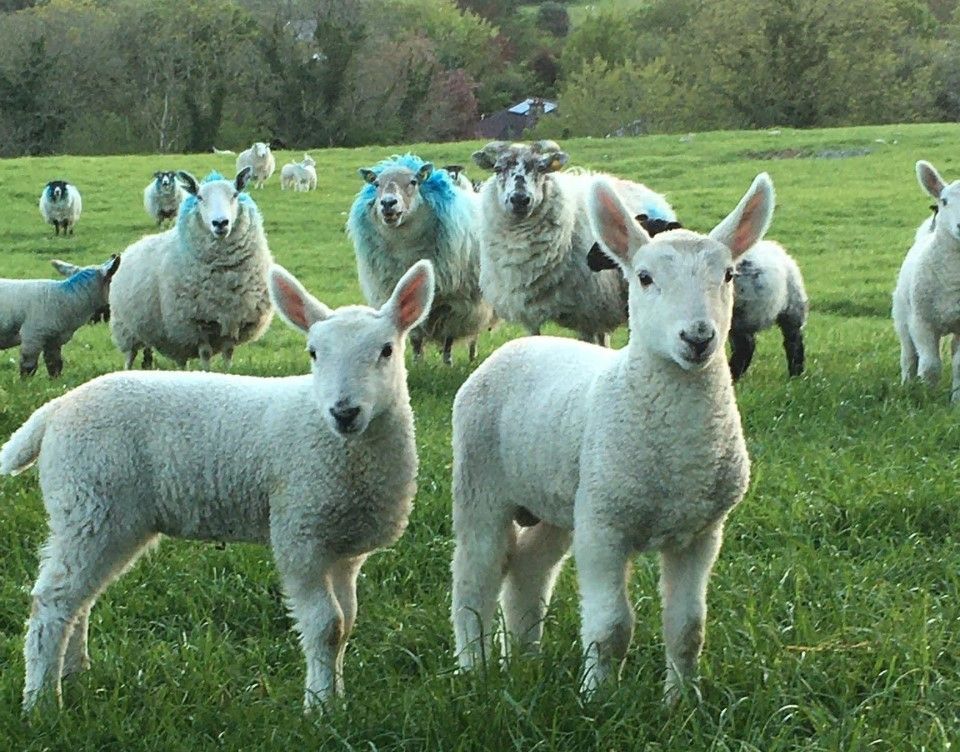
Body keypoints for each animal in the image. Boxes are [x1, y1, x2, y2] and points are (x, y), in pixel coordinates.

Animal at [1, 260, 435, 714]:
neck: (340, 444)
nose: (344, 412)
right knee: (53, 600)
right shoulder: (300, 532)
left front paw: (339, 699)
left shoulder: (345, 549)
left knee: (78, 598)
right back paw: (41, 701)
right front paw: (318, 706)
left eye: (386, 350)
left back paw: (74, 675)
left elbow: (347, 623)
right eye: (313, 353)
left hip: (103, 516)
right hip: (90, 504)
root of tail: (54, 410)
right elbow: (326, 625)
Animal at [109, 168, 274, 370]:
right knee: (130, 356)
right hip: (125, 328)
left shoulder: (233, 319)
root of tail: (132, 245)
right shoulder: (196, 324)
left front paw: (227, 373)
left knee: (179, 360)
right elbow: (205, 354)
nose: (220, 223)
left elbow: (228, 354)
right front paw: (207, 373)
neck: (225, 277)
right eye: (200, 197)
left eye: (235, 195)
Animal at [347, 153, 495, 364]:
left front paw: (447, 363)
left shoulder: (455, 302)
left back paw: (472, 356)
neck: (406, 249)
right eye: (376, 184)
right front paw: (418, 362)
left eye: (413, 182)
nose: (388, 203)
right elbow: (416, 336)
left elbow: (449, 335)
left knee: (473, 335)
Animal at [450, 173, 775, 703]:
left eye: (728, 275)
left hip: (560, 501)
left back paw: (526, 658)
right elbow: (611, 628)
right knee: (474, 578)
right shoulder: (604, 527)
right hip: (482, 484)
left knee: (529, 569)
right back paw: (473, 669)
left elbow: (687, 628)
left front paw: (680, 703)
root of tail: (516, 345)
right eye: (643, 278)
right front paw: (596, 699)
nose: (698, 338)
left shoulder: (700, 533)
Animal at [893, 160, 960, 401]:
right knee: (909, 356)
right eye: (944, 201)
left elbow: (959, 366)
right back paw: (907, 384)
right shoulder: (921, 321)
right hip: (902, 316)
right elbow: (930, 365)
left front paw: (956, 401)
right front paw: (926, 398)